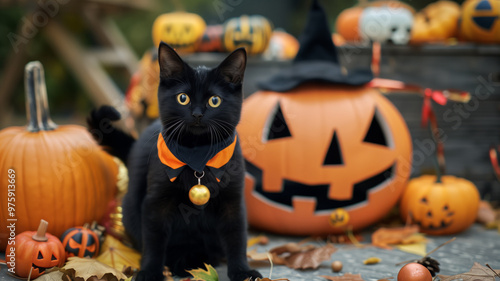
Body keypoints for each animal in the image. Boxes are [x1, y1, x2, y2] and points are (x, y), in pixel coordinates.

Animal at [88, 42, 264, 280]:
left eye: (214, 101)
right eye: (183, 98)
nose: (197, 114)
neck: (198, 157)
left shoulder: (233, 202)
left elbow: (237, 238)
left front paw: (242, 271)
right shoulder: (155, 203)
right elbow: (154, 240)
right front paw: (149, 271)